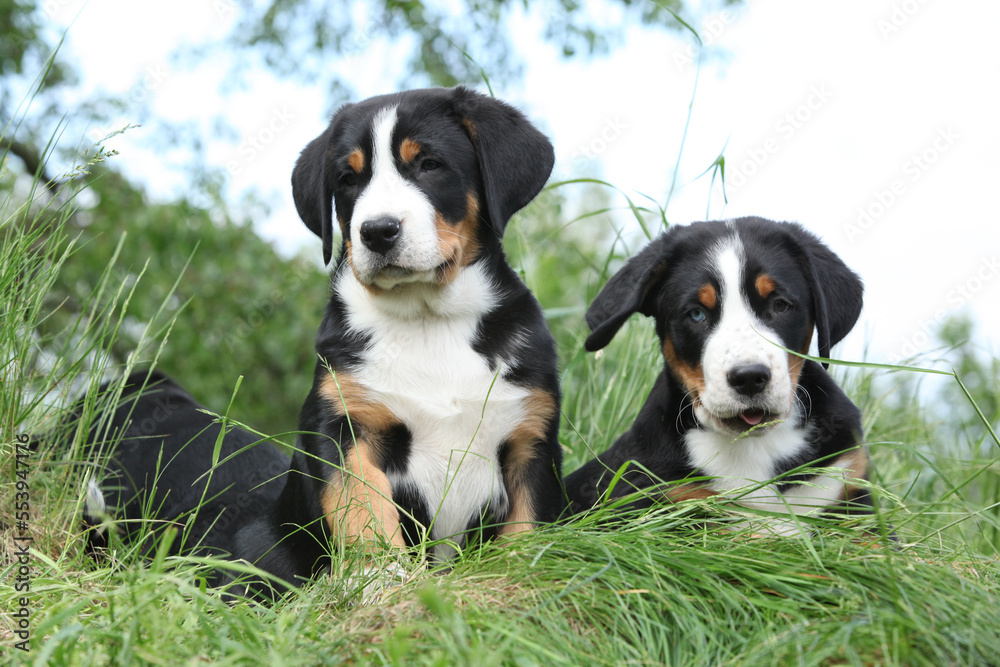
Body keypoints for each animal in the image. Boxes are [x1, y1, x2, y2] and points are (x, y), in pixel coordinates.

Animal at [262, 85, 564, 576]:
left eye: (429, 164)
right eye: (348, 179)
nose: (377, 231)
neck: (427, 319)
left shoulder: (531, 438)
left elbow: (526, 526)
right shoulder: (343, 422)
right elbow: (361, 503)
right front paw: (377, 575)